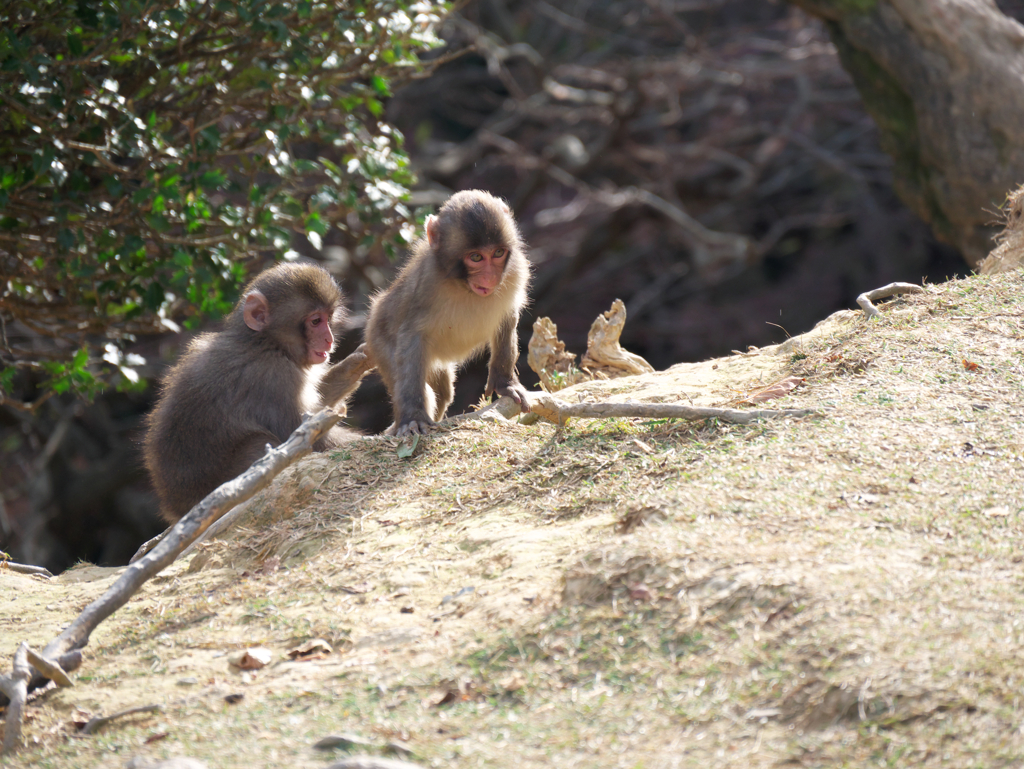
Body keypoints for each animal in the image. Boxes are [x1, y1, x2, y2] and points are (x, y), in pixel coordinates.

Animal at [142, 260, 370, 524]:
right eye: (315, 321)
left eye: (328, 318)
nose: (329, 339)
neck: (264, 342)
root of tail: (176, 510)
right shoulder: (275, 377)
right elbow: (311, 438)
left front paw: (356, 364)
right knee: (259, 442)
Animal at [366, 189, 528, 436]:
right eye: (476, 257)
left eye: (498, 253)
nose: (490, 278)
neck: (462, 285)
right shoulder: (427, 283)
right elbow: (411, 336)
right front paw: (412, 417)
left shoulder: (515, 271)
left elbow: (507, 320)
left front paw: (505, 383)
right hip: (379, 340)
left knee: (442, 392)